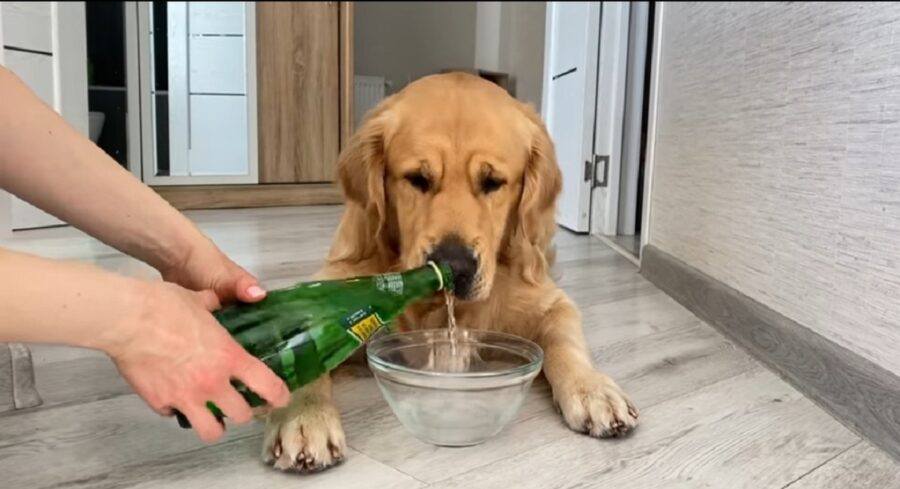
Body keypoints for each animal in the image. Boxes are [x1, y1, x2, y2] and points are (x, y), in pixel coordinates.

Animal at [260, 70, 640, 470]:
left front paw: (593, 389)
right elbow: (304, 354)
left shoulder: (550, 302)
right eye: (417, 178)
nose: (455, 266)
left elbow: (564, 343)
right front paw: (304, 417)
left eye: (493, 182)